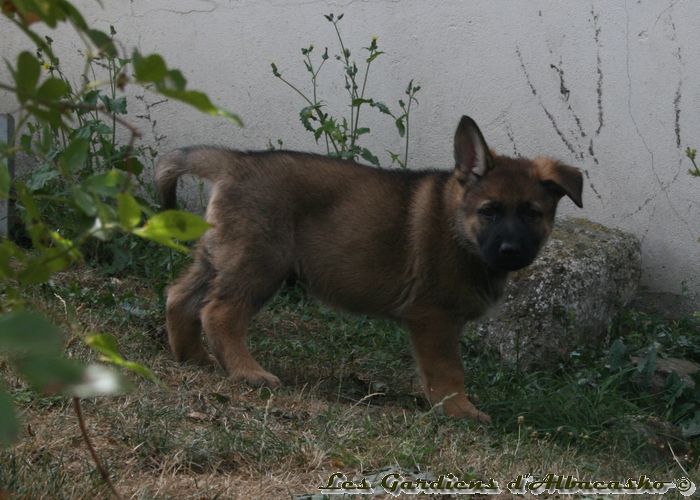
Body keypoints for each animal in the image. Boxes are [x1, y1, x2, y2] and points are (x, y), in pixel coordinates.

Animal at [156, 116, 584, 422]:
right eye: (490, 211)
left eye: (531, 214)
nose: (511, 251)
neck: (458, 228)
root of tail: (234, 161)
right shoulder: (434, 317)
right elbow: (448, 370)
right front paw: (459, 410)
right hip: (258, 263)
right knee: (219, 312)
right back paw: (247, 372)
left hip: (218, 256)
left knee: (179, 297)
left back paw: (193, 357)